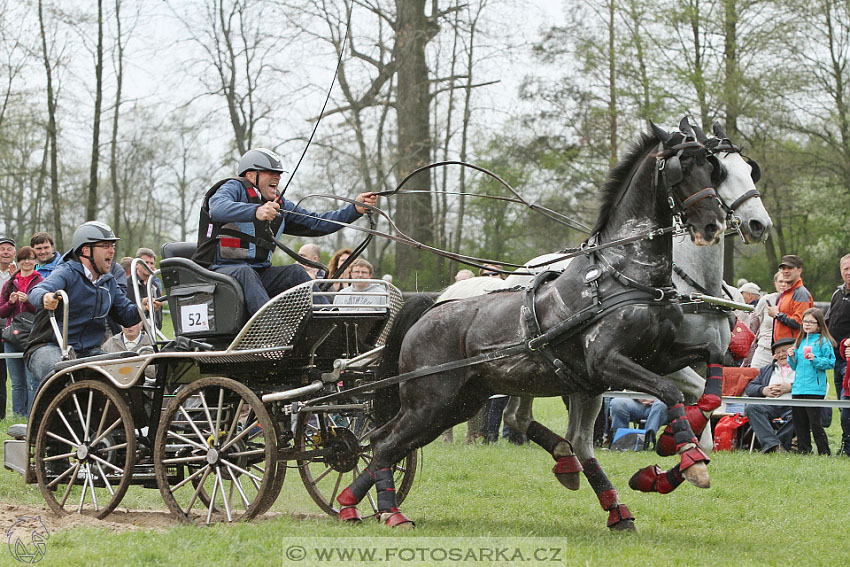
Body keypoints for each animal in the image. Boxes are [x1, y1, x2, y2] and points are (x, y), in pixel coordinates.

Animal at [334, 125, 724, 532]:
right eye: (682, 168)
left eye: (712, 169)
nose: (714, 224)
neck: (622, 274)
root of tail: (429, 309)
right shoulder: (608, 363)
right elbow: (670, 391)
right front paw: (689, 462)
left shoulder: (656, 355)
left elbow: (711, 360)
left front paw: (676, 443)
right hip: (430, 402)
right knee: (384, 445)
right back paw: (388, 511)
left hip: (457, 404)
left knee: (385, 442)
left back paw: (350, 505)